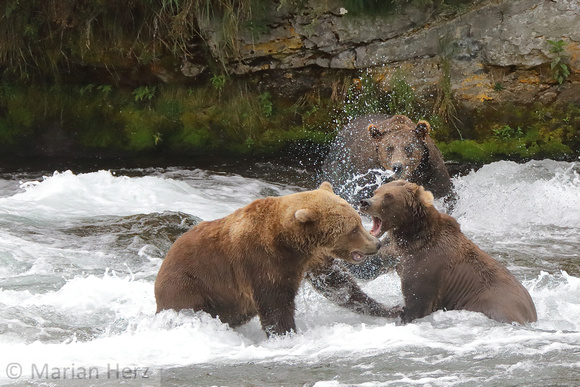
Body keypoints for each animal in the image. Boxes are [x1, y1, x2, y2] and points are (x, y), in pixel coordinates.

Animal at [154, 182, 398, 336]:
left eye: (357, 221)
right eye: (353, 229)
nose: (375, 244)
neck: (289, 241)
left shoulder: (311, 260)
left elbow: (338, 286)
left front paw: (389, 308)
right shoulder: (261, 260)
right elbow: (275, 304)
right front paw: (286, 334)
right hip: (190, 286)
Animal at [360, 180, 536, 326]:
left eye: (388, 196)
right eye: (376, 191)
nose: (365, 202)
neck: (412, 237)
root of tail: (532, 314)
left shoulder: (427, 266)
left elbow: (416, 302)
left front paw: (403, 316)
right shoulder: (394, 253)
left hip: (492, 304)